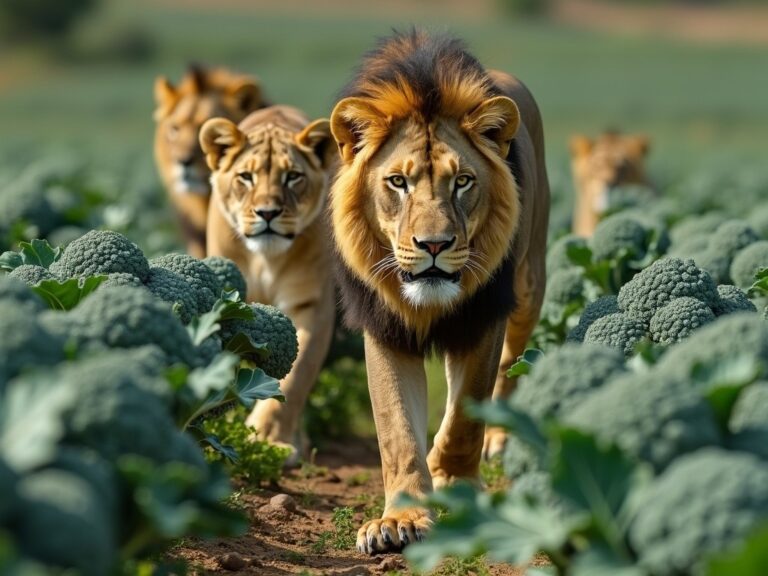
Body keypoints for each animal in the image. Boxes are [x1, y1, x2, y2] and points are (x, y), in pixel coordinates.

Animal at [201, 104, 336, 460]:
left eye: (293, 177)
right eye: (245, 177)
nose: (267, 213)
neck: (266, 259)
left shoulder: (312, 305)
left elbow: (296, 377)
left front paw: (268, 439)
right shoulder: (235, 305)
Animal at [330, 32, 552, 552]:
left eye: (463, 181)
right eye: (398, 182)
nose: (433, 245)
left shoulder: (483, 316)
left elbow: (465, 416)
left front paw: (452, 482)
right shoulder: (385, 327)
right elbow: (396, 430)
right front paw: (399, 521)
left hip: (529, 287)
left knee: (508, 369)